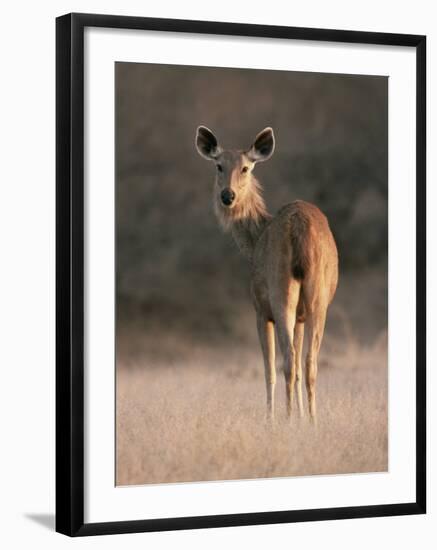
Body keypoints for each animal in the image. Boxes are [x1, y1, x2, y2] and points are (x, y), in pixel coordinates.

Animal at [194, 127, 338, 424]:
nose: (227, 196)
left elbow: (268, 369)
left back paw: (286, 419)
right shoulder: (301, 317)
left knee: (288, 361)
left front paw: (271, 419)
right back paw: (313, 421)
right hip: (317, 296)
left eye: (246, 168)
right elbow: (299, 365)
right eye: (218, 165)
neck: (255, 238)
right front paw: (302, 418)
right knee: (309, 362)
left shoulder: (260, 310)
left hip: (279, 290)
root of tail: (300, 227)